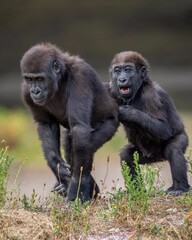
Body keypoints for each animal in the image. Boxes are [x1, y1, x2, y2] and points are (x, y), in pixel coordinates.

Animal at [19, 43, 118, 202]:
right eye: (30, 79)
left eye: (40, 79)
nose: (34, 91)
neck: (60, 78)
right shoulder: (25, 91)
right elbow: (46, 125)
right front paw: (57, 167)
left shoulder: (80, 76)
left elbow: (79, 128)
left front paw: (77, 186)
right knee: (69, 141)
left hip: (111, 123)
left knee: (84, 147)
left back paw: (87, 188)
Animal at [109, 51, 191, 195]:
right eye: (117, 71)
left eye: (128, 70)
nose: (122, 79)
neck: (139, 88)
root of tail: (158, 157)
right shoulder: (112, 90)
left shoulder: (151, 95)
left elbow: (162, 128)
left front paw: (128, 112)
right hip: (147, 156)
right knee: (126, 155)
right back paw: (137, 189)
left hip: (180, 139)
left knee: (174, 149)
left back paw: (180, 188)